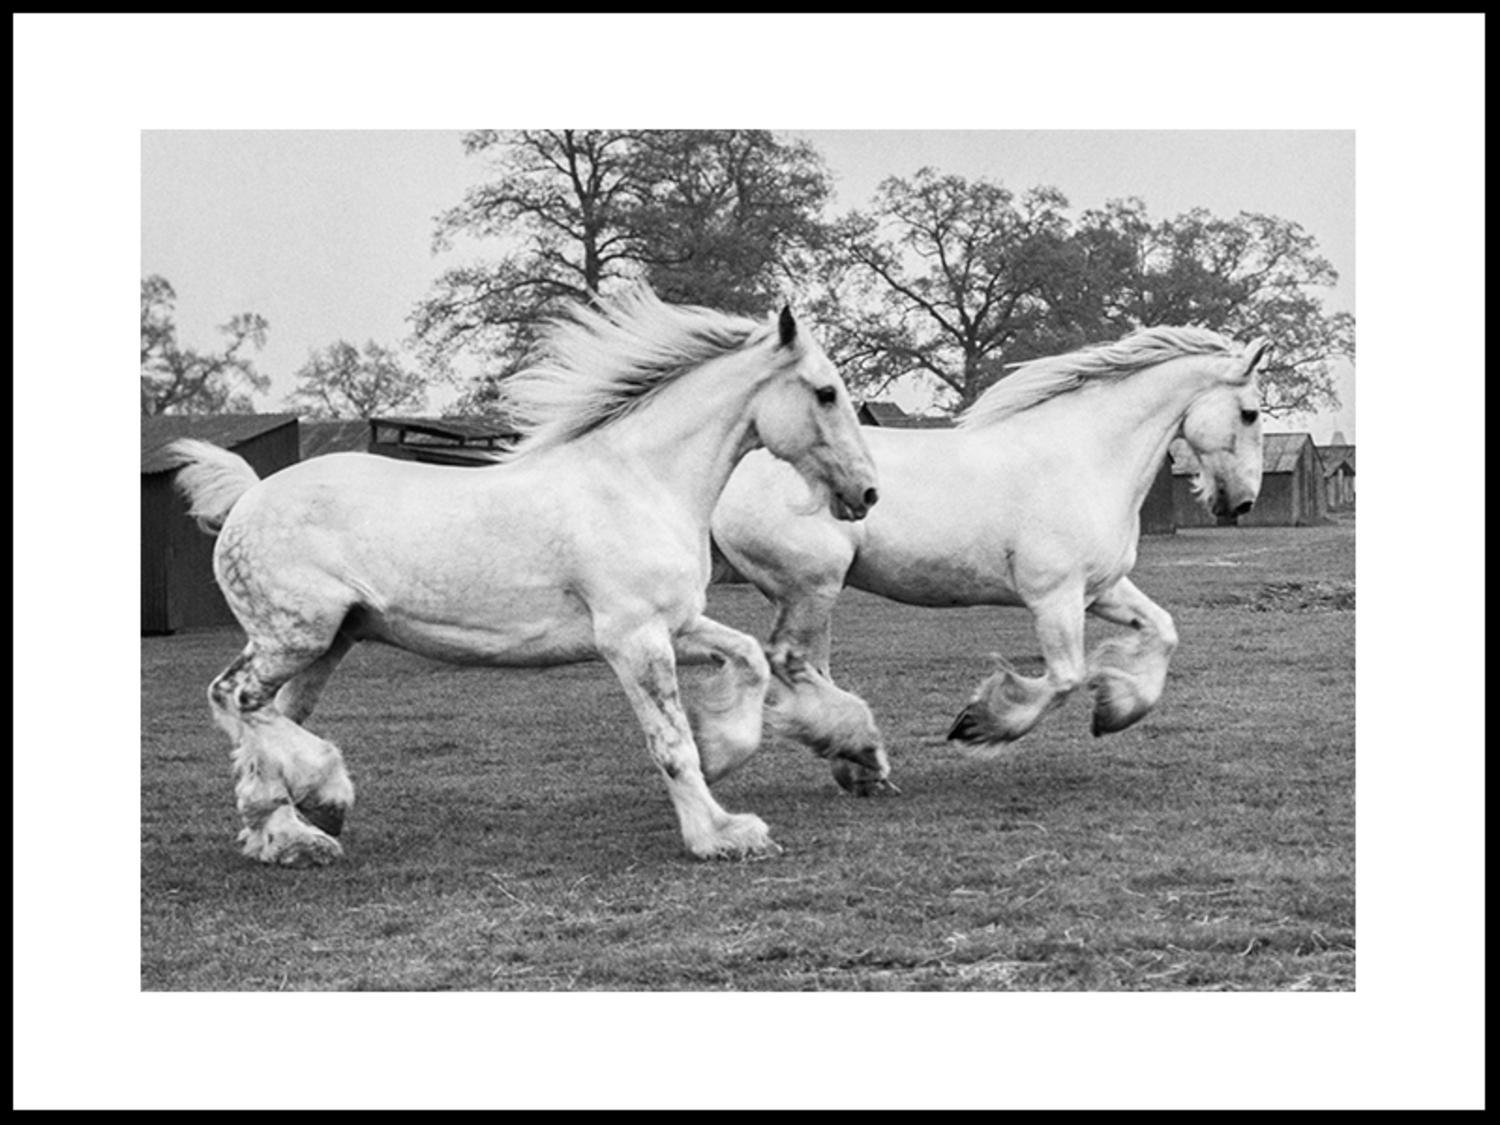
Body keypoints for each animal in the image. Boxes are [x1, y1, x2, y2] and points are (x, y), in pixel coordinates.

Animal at [165, 284, 884, 868]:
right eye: (826, 392)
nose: (868, 493)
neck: (639, 481)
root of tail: (247, 498)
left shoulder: (675, 624)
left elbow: (750, 660)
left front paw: (725, 751)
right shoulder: (633, 638)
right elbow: (669, 741)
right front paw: (719, 832)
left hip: (326, 644)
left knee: (266, 720)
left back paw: (287, 833)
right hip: (295, 636)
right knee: (233, 699)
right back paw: (323, 793)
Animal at [710, 325, 1269, 793]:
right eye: (1251, 413)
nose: (1241, 502)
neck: (1085, 458)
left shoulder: (1100, 589)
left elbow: (1164, 631)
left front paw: (1116, 711)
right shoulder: (1054, 597)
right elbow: (1065, 678)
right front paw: (978, 725)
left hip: (815, 591)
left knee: (810, 670)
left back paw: (860, 766)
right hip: (811, 586)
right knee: (790, 662)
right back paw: (863, 756)